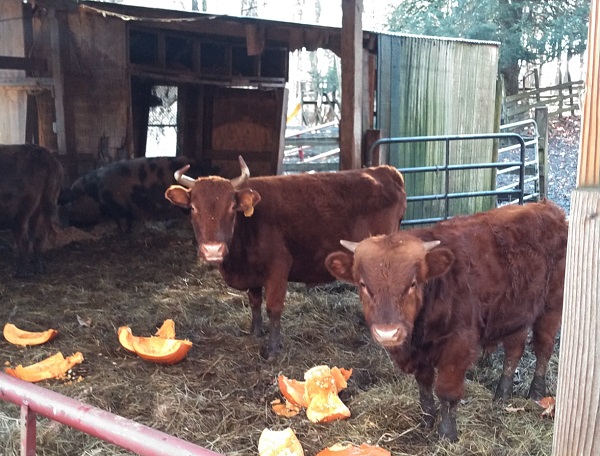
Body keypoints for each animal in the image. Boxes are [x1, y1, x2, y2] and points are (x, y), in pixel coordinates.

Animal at [0, 144, 64, 276]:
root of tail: (47, 156)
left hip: (21, 212)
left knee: (24, 239)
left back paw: (21, 272)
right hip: (44, 207)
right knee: (40, 236)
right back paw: (38, 266)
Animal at [326, 200, 564, 442]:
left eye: (413, 283)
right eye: (363, 285)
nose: (387, 332)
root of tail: (547, 207)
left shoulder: (458, 346)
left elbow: (447, 392)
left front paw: (447, 434)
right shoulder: (420, 355)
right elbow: (424, 387)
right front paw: (427, 421)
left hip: (552, 307)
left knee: (543, 348)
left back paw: (536, 392)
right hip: (515, 313)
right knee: (514, 351)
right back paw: (502, 395)